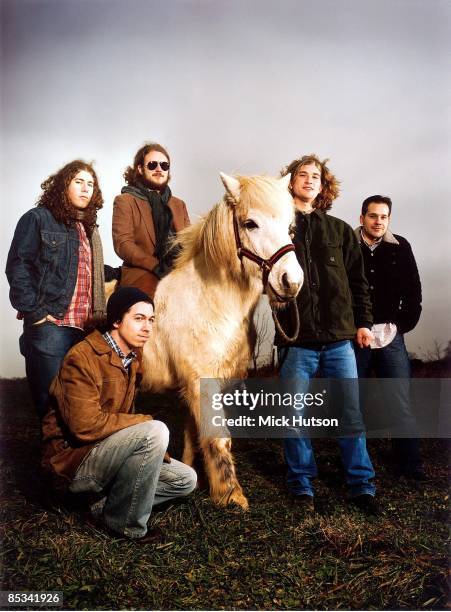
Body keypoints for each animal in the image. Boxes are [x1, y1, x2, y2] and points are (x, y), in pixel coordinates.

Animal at [141, 172, 304, 506]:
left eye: (290, 227)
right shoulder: (201, 383)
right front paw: (230, 495)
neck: (209, 303)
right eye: (250, 223)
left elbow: (195, 434)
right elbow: (218, 437)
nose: (291, 282)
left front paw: (195, 473)